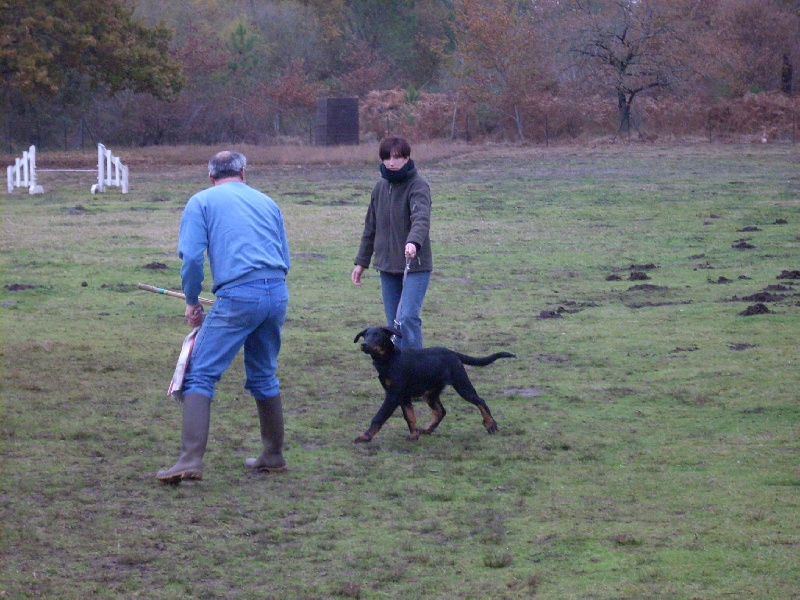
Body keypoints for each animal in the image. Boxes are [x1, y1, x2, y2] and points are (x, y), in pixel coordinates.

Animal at [354, 326, 516, 442]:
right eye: (365, 335)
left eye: (377, 335)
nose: (363, 344)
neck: (389, 360)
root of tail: (452, 353)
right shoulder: (403, 396)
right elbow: (410, 416)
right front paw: (414, 435)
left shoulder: (393, 395)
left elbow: (379, 417)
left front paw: (365, 437)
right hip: (430, 393)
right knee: (440, 411)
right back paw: (427, 429)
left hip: (461, 384)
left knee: (480, 401)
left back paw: (490, 424)